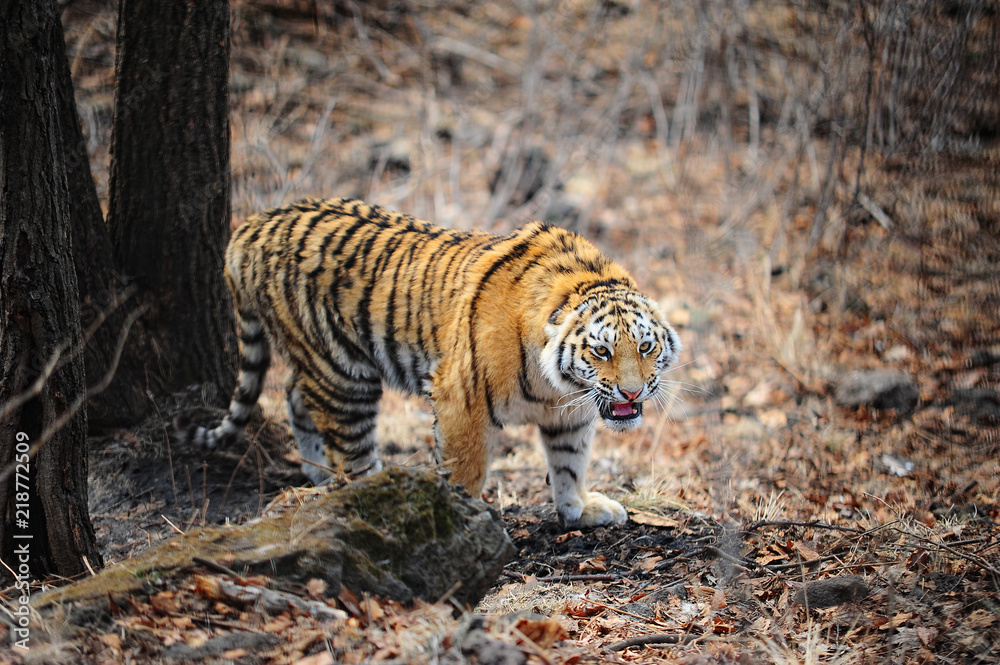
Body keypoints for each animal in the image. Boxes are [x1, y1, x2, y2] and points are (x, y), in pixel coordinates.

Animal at [177, 198, 681, 527]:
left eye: (645, 347)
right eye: (602, 351)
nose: (632, 391)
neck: (557, 385)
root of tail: (249, 227)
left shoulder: (570, 413)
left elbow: (570, 461)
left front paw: (580, 508)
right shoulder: (462, 400)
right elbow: (466, 469)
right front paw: (464, 521)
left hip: (324, 363)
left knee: (295, 397)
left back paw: (314, 471)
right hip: (345, 375)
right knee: (350, 450)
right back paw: (379, 504)